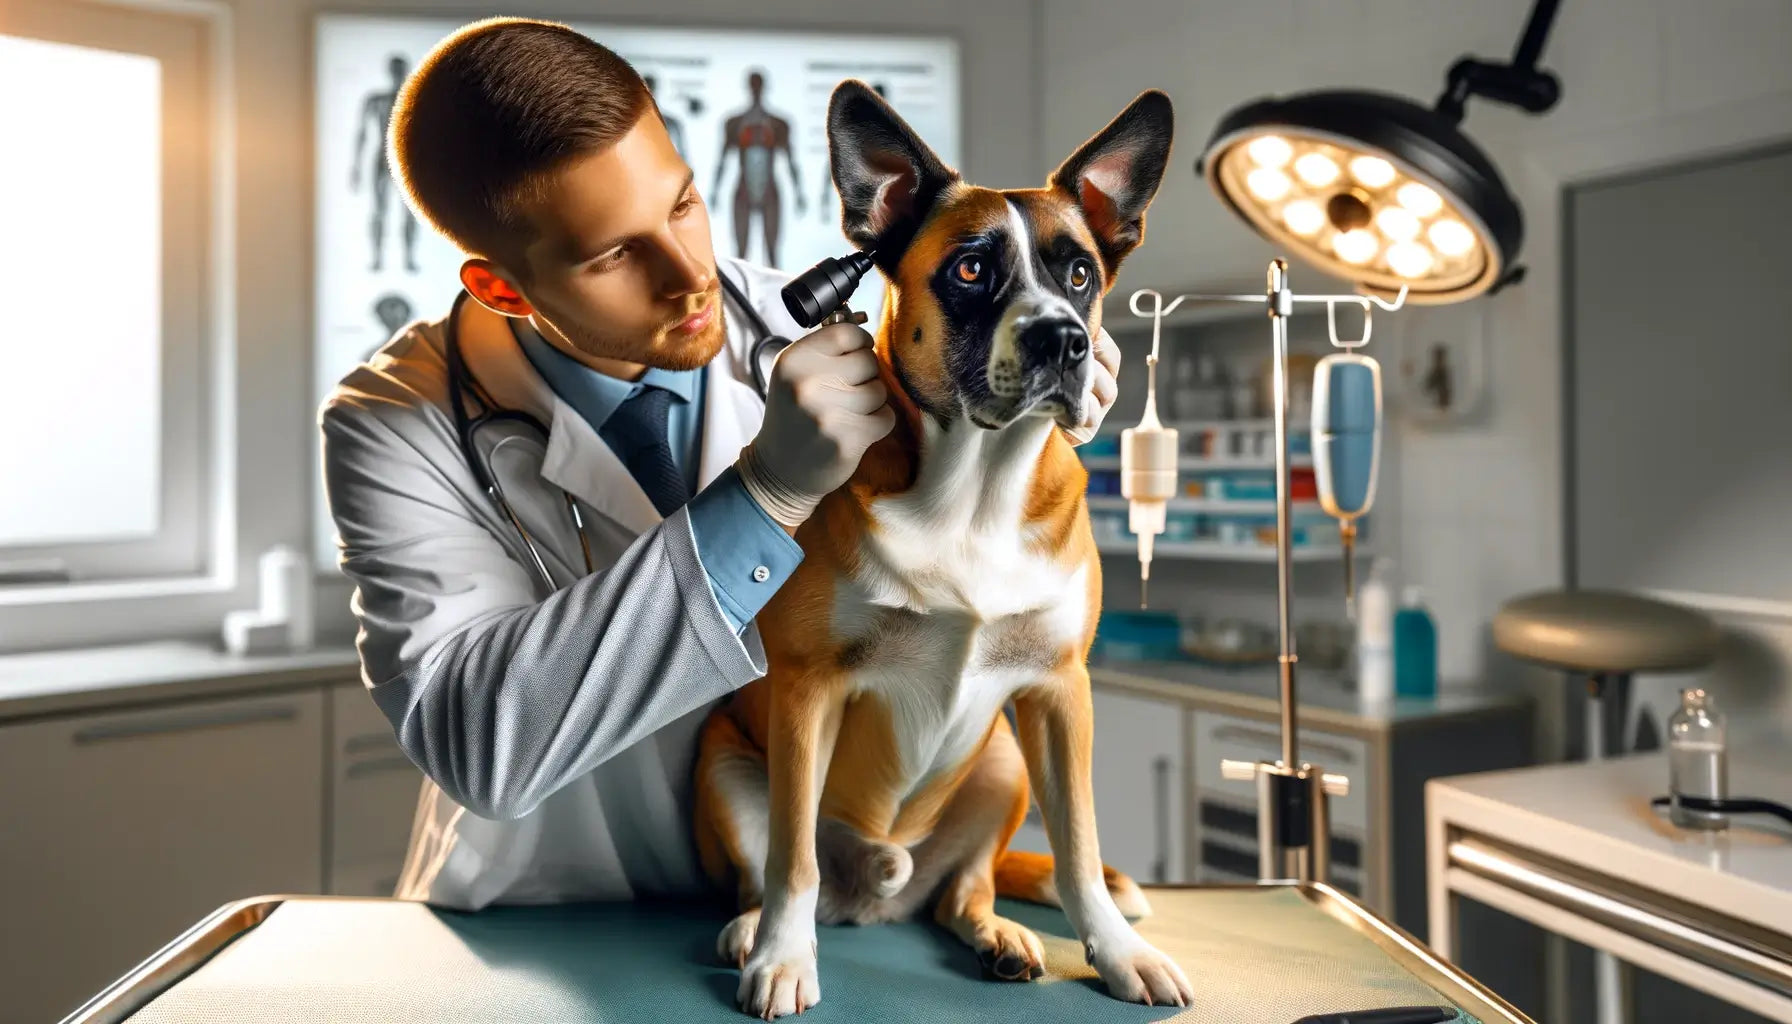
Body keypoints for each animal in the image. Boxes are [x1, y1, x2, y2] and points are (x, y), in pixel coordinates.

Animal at [691, 78, 1182, 1018]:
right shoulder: (807, 691)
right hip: (725, 764)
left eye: (1079, 274)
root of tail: (880, 891)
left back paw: (997, 935)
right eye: (970, 269)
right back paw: (751, 929)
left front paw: (1117, 951)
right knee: (770, 868)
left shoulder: (1060, 693)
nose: (1064, 339)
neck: (975, 491)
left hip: (1003, 764)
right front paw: (782, 957)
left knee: (965, 889)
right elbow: (791, 857)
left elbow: (1077, 847)